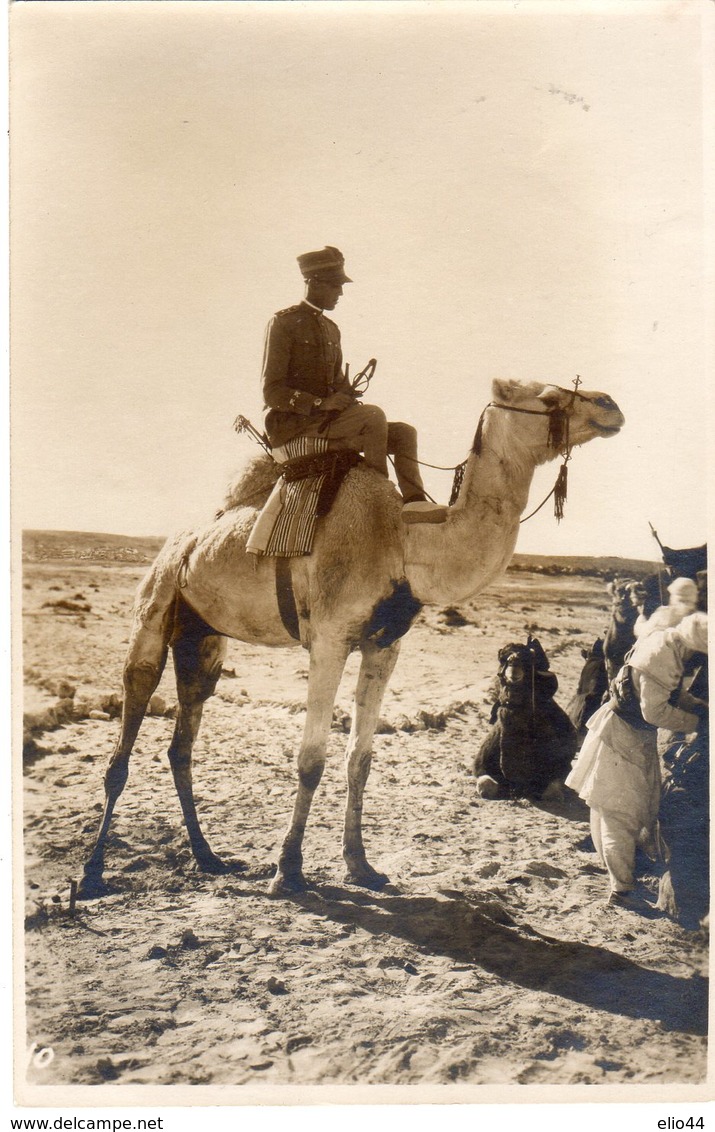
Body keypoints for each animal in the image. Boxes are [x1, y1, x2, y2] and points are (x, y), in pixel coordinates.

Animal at [472, 638, 579, 805]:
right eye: (503, 658)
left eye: (529, 659)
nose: (513, 662)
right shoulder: (481, 766)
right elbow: (486, 785)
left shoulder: (563, 766)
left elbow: (553, 792)